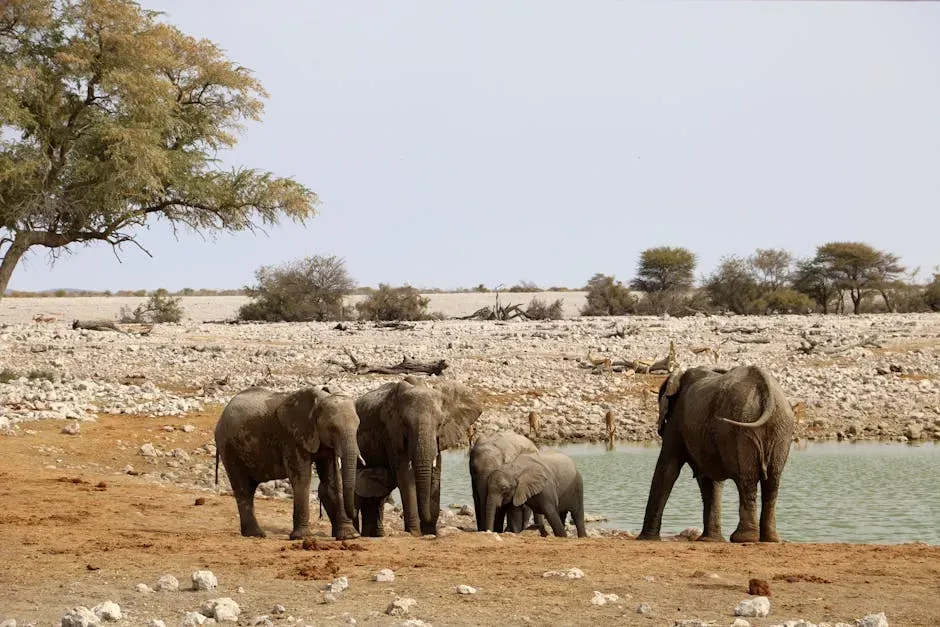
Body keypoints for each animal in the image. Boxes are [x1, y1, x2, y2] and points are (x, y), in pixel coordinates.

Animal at [214, 386, 361, 541]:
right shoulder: (291, 437)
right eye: (332, 428)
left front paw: (350, 536)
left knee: (250, 488)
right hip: (228, 448)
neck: (320, 399)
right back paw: (256, 534)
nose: (355, 511)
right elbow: (302, 477)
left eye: (358, 427)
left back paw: (254, 534)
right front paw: (301, 537)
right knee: (242, 487)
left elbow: (331, 480)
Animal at [354, 376, 482, 536]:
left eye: (440, 424)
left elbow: (435, 475)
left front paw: (429, 532)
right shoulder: (391, 433)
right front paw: (415, 533)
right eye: (405, 424)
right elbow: (405, 475)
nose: (426, 523)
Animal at [638, 365, 795, 543]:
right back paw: (770, 539)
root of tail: (768, 391)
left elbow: (668, 468)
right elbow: (710, 480)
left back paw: (743, 538)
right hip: (780, 428)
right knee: (772, 481)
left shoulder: (676, 420)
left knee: (746, 479)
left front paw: (646, 539)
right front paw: (710, 540)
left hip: (743, 427)